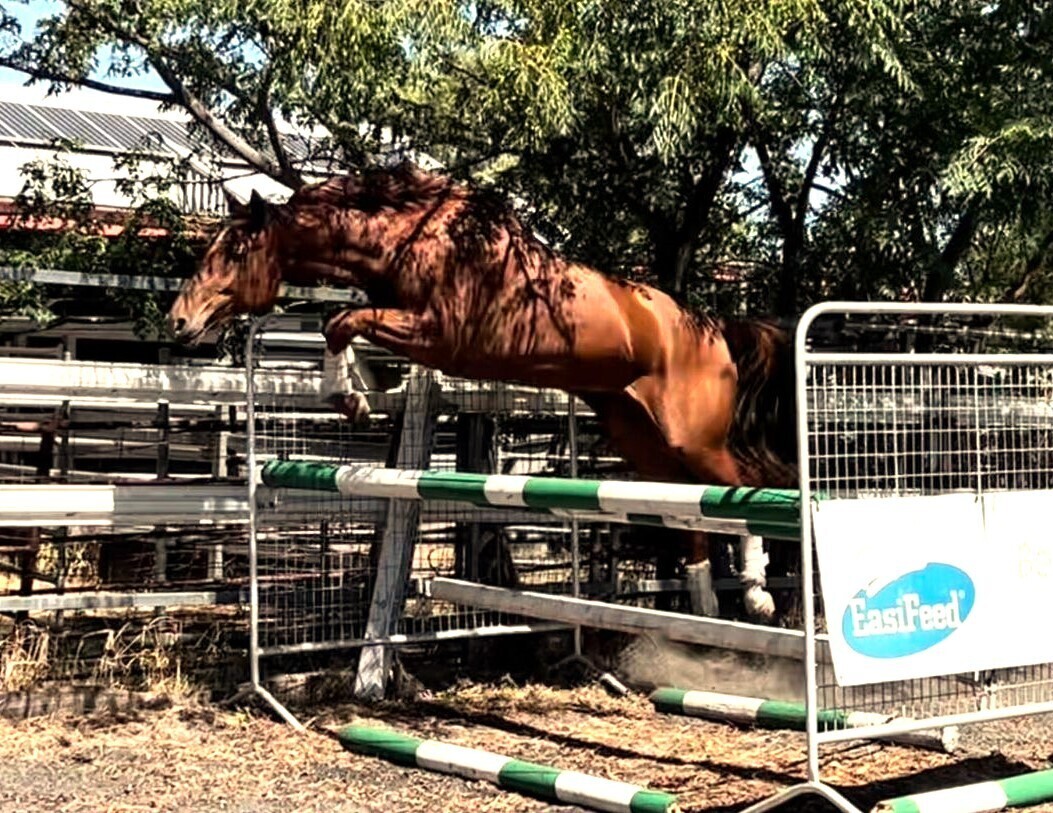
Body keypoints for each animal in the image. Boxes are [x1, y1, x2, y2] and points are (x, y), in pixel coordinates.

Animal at [167, 163, 797, 619]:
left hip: (693, 437)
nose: (179, 322)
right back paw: (705, 603)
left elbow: (342, 320)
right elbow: (342, 323)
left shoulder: (440, 335)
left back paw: (758, 594)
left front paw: (351, 395)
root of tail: (711, 327)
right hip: (639, 435)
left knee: (745, 485)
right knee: (690, 505)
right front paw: (359, 390)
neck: (410, 238)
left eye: (236, 252)